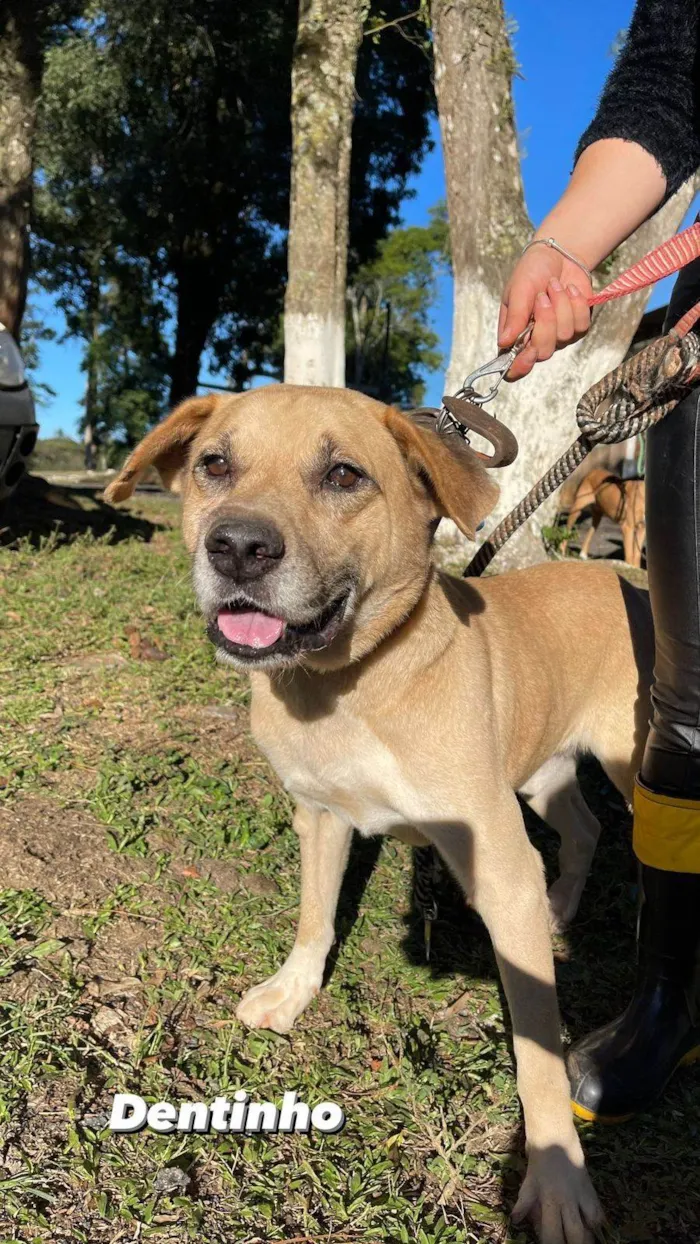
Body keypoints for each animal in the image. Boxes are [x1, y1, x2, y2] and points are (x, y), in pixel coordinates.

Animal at [105, 385, 656, 1244]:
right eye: (215, 464)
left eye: (343, 474)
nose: (238, 548)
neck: (352, 683)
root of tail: (626, 570)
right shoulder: (320, 813)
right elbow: (314, 915)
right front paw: (292, 992)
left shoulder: (496, 863)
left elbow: (537, 1055)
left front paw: (558, 1178)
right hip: (540, 772)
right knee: (583, 830)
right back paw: (559, 908)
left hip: (632, 767)